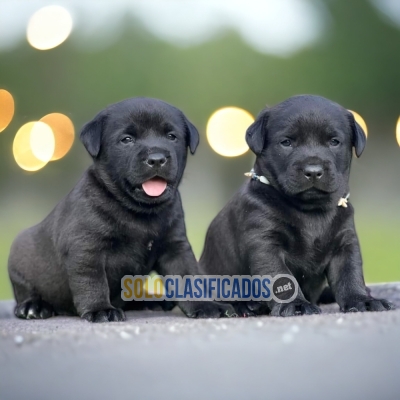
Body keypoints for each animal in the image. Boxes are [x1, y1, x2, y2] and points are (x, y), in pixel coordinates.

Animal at [7, 98, 236, 324]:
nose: (156, 159)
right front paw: (100, 309)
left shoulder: (175, 247)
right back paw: (33, 307)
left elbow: (187, 276)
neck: (140, 211)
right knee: (25, 291)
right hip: (20, 257)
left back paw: (153, 301)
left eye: (171, 136)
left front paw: (205, 305)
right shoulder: (87, 248)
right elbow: (93, 281)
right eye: (127, 139)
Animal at [200, 95, 394, 318]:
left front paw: (361, 300)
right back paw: (246, 305)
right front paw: (296, 304)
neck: (310, 211)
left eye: (334, 142)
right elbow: (281, 277)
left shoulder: (345, 242)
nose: (313, 171)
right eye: (286, 142)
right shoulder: (264, 242)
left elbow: (350, 274)